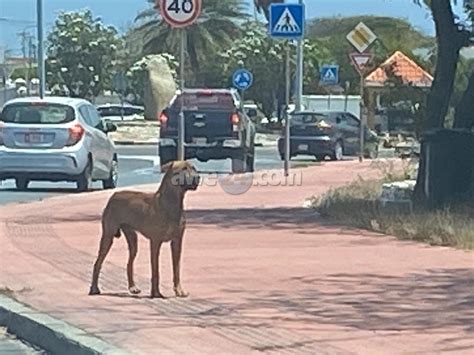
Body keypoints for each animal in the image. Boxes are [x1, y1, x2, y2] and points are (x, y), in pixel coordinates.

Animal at [89, 161, 200, 298]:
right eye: (184, 169)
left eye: (194, 168)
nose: (198, 177)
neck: (171, 202)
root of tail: (114, 194)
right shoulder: (155, 242)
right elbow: (155, 270)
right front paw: (156, 293)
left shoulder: (177, 241)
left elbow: (177, 269)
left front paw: (179, 291)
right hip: (108, 236)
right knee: (98, 263)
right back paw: (94, 288)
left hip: (132, 237)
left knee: (129, 263)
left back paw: (133, 287)